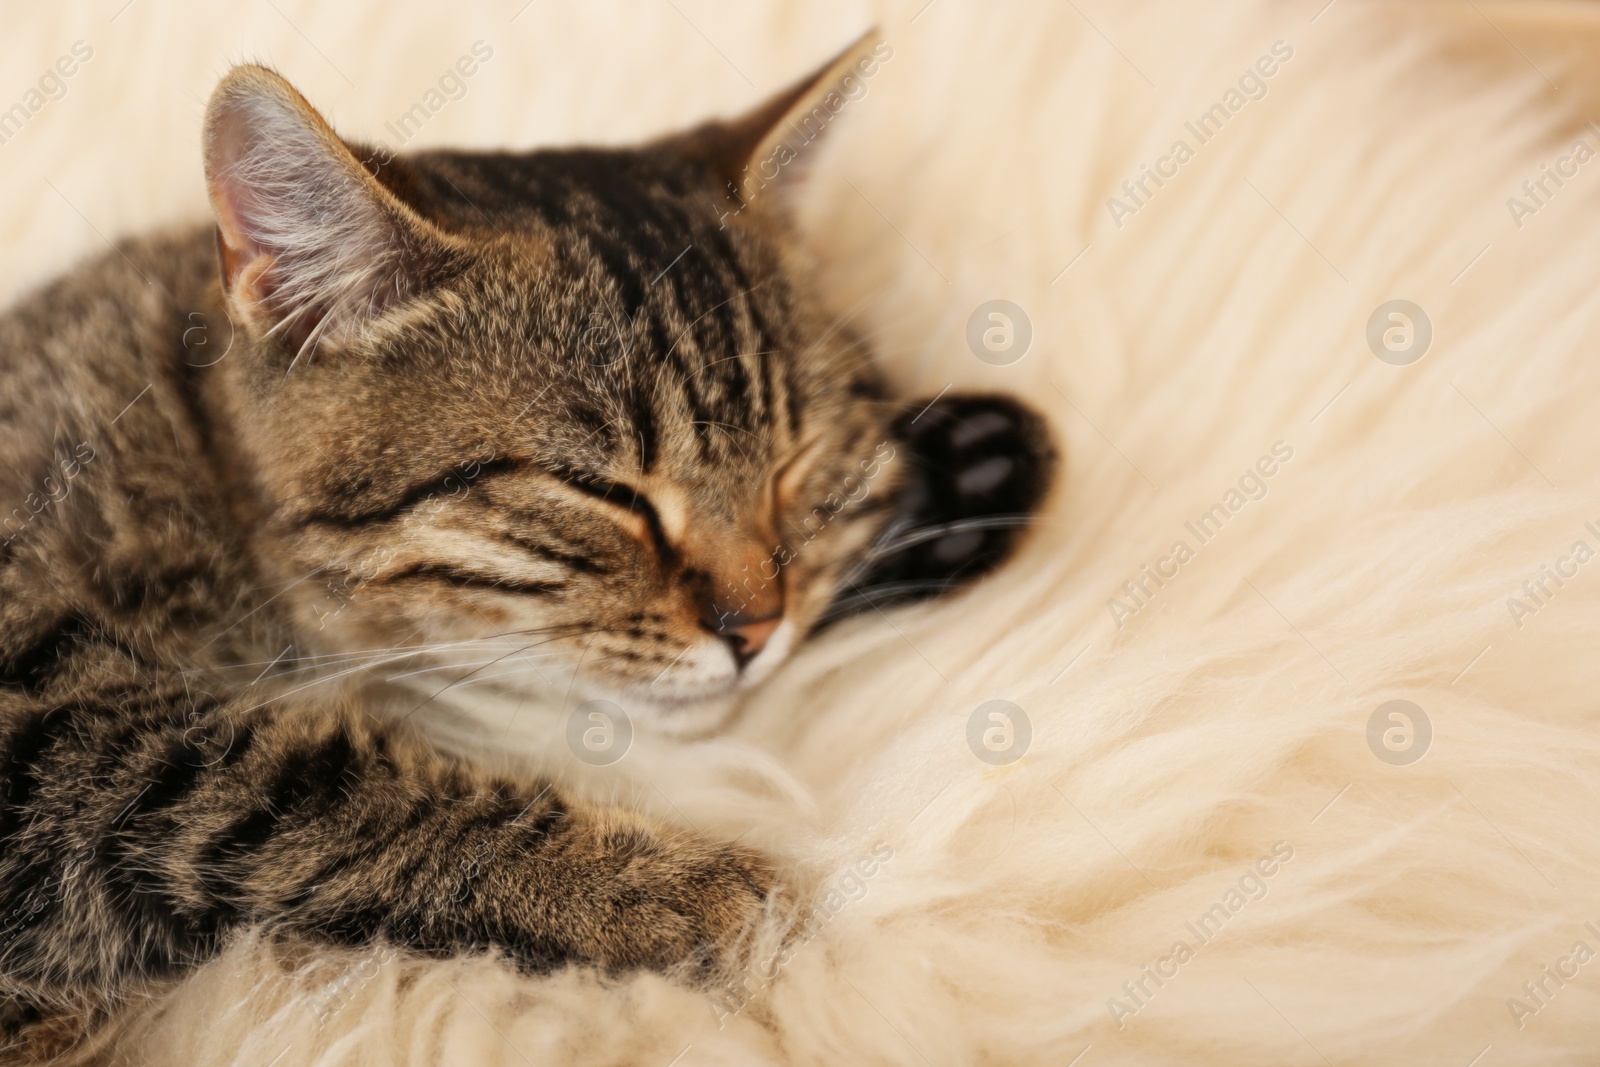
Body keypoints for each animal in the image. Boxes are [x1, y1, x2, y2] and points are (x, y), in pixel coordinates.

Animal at [0, 31, 1049, 1049]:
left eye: (794, 464)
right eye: (603, 491)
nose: (756, 630)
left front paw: (959, 475)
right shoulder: (52, 729)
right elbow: (284, 783)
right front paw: (663, 887)